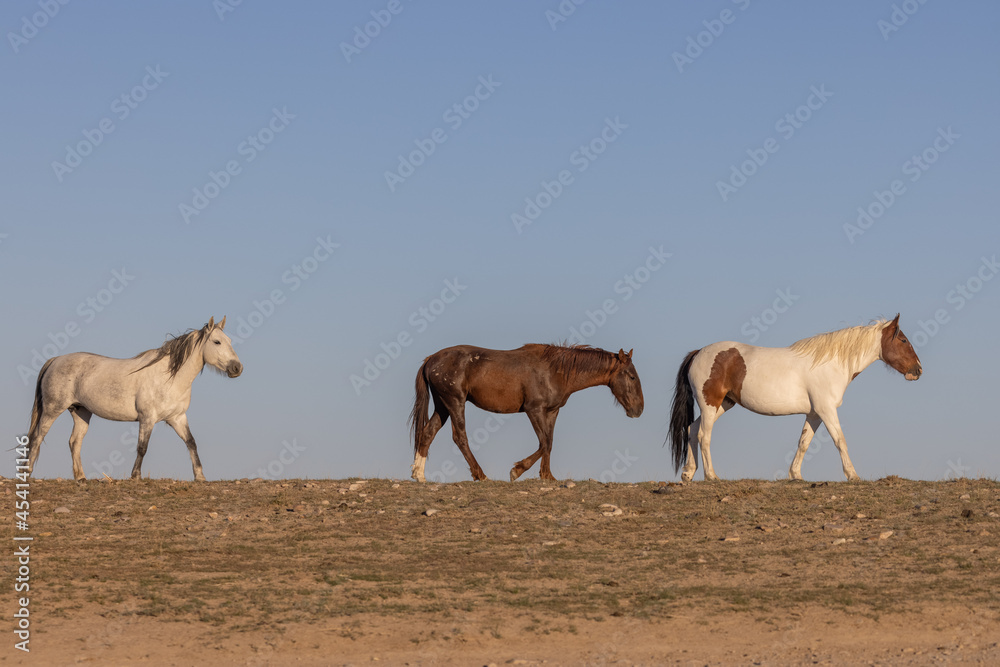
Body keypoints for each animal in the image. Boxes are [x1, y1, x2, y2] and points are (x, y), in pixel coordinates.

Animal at [26, 317, 242, 481]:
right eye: (217, 342)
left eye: (230, 341)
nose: (237, 368)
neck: (169, 378)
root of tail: (55, 360)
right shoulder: (147, 419)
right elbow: (142, 447)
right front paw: (135, 476)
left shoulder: (177, 418)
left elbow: (191, 443)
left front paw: (200, 476)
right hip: (53, 409)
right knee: (37, 437)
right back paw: (27, 474)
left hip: (81, 412)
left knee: (74, 442)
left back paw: (81, 478)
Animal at [409, 344, 644, 482]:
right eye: (631, 376)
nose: (639, 409)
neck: (555, 370)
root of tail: (431, 359)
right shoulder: (534, 409)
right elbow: (544, 442)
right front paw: (518, 470)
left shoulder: (551, 411)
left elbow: (549, 442)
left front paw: (547, 476)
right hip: (455, 402)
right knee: (460, 437)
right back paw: (480, 475)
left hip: (443, 405)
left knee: (427, 433)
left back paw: (419, 475)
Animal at [668, 314, 922, 482]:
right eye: (903, 340)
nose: (918, 370)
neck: (830, 364)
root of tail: (698, 353)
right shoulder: (827, 410)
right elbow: (840, 440)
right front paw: (852, 475)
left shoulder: (814, 413)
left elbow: (803, 442)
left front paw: (795, 475)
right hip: (710, 404)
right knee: (703, 435)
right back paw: (711, 476)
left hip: (722, 405)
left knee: (692, 429)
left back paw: (688, 473)